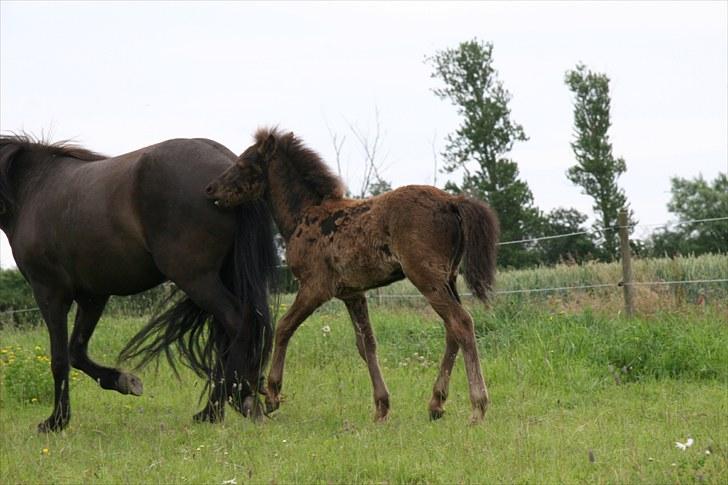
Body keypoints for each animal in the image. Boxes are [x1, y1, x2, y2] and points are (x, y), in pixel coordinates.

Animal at [0, 133, 278, 432]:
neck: (32, 187)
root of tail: (229, 165)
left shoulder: (50, 293)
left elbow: (60, 359)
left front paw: (56, 421)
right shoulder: (93, 296)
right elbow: (76, 352)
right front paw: (124, 381)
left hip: (197, 279)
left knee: (238, 321)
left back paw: (220, 408)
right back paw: (233, 402)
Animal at [205, 129, 500, 424]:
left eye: (242, 163)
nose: (210, 190)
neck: (304, 214)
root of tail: (452, 202)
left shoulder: (315, 287)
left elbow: (284, 327)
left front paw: (273, 394)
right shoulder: (353, 293)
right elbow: (366, 344)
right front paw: (381, 407)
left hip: (427, 277)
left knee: (461, 322)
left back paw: (478, 407)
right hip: (448, 278)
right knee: (452, 330)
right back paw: (436, 404)